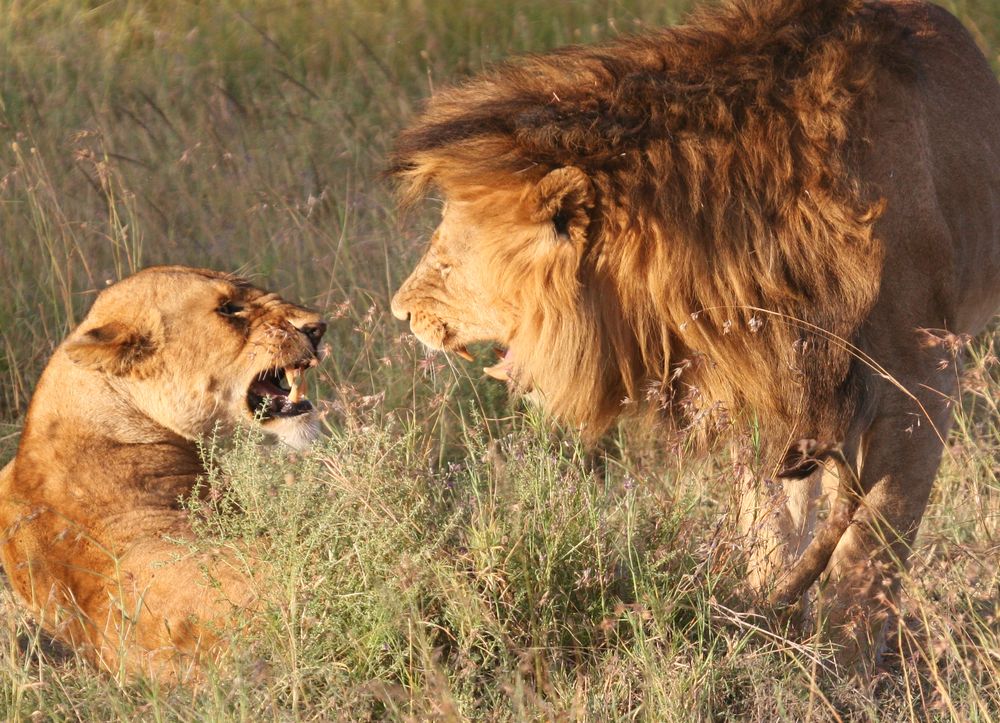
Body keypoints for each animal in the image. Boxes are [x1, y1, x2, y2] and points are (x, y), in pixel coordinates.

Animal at [388, 0, 1000, 668]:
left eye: (450, 259)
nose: (400, 312)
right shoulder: (760, 384)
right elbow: (771, 527)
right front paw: (765, 629)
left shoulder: (922, 383)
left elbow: (875, 542)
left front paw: (847, 664)